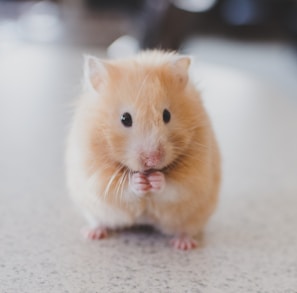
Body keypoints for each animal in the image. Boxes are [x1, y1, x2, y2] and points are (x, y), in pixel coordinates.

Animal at [65, 49, 220, 249]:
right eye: (125, 118)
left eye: (167, 115)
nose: (152, 160)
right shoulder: (95, 174)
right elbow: (120, 188)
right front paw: (139, 181)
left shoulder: (195, 176)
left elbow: (175, 186)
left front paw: (155, 179)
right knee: (99, 221)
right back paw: (92, 233)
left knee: (185, 229)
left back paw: (183, 244)